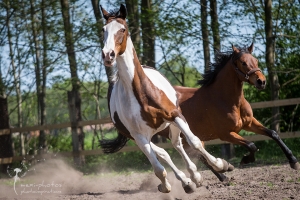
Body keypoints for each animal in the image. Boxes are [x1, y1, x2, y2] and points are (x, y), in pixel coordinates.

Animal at [101, 3, 232, 193]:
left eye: (122, 29)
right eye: (103, 29)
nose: (107, 55)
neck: (141, 94)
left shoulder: (175, 115)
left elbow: (195, 142)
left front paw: (221, 164)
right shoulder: (139, 136)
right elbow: (159, 168)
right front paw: (167, 186)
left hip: (171, 125)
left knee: (177, 144)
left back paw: (195, 175)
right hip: (143, 137)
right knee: (164, 153)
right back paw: (187, 181)